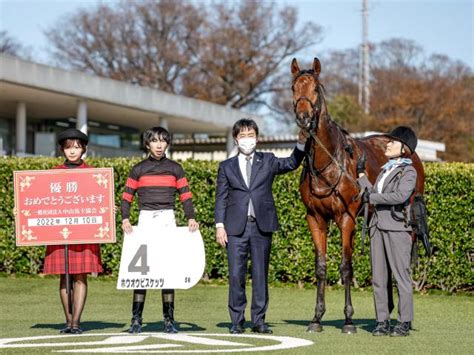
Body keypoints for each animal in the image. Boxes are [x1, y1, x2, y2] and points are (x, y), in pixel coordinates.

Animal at [290, 57, 424, 334]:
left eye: (316, 88)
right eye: (293, 88)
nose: (303, 118)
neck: (328, 164)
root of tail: (411, 152)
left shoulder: (346, 218)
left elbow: (346, 267)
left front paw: (349, 321)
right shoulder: (315, 218)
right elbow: (321, 268)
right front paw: (316, 318)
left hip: (409, 225)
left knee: (401, 266)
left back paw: (401, 320)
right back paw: (386, 315)